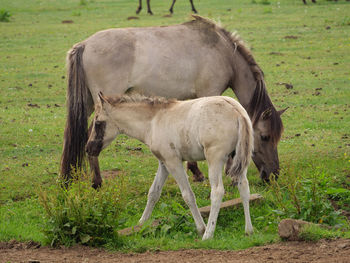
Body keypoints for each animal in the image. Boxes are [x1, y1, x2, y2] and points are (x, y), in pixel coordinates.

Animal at [60, 15, 284, 189]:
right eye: (264, 137)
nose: (273, 174)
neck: (223, 52)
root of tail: (84, 45)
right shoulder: (210, 93)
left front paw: (195, 171)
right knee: (91, 135)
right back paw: (97, 182)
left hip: (90, 104)